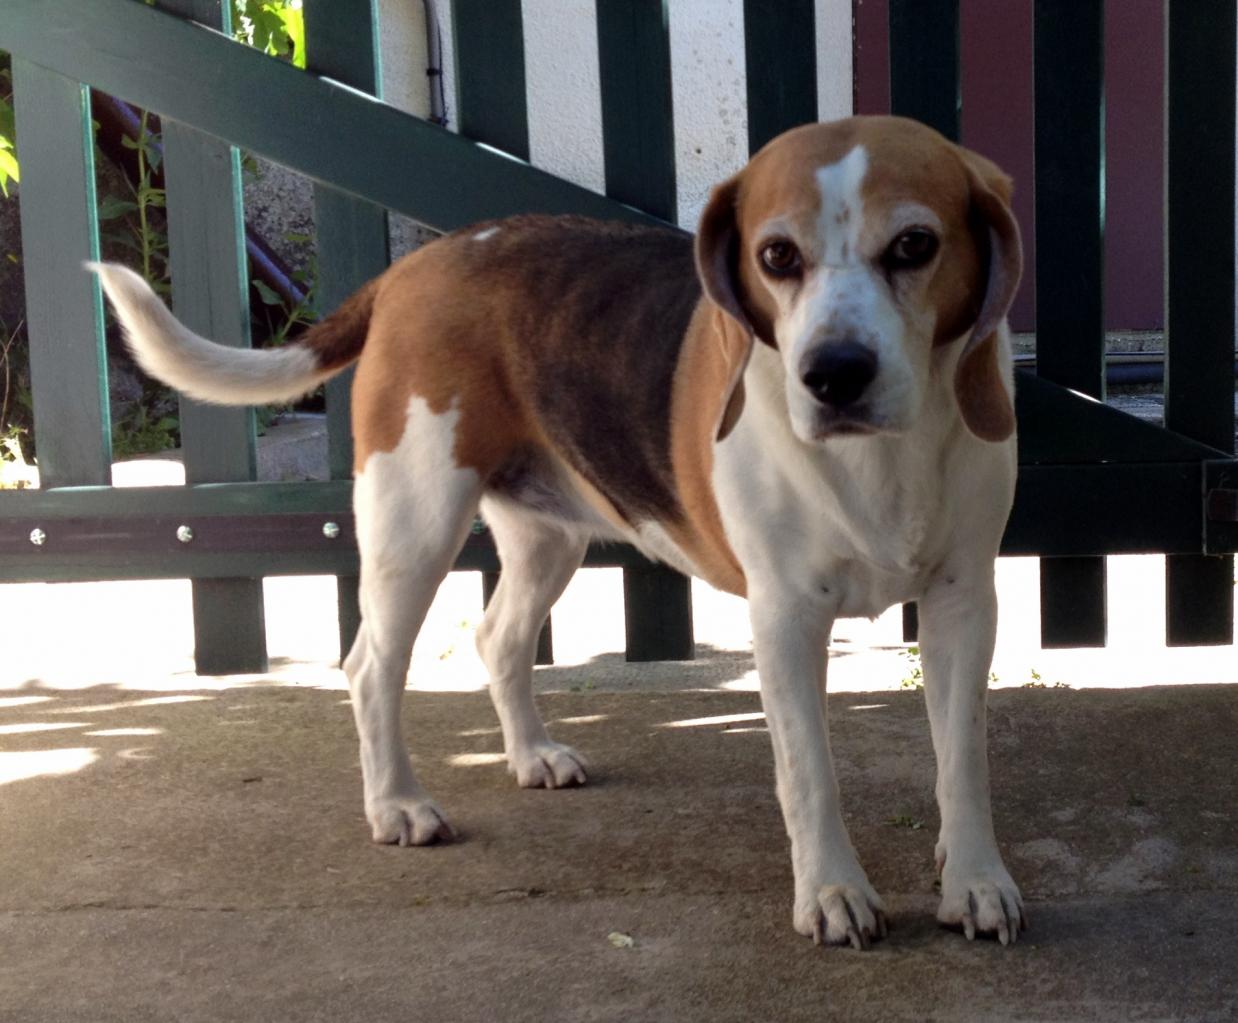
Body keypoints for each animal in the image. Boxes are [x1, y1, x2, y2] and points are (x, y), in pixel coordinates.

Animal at [89, 115, 1025, 946]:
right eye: (776, 257)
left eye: (914, 245)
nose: (833, 374)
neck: (880, 461)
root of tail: (417, 265)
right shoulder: (786, 617)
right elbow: (809, 774)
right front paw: (832, 892)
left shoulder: (963, 602)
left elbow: (964, 760)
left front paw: (975, 879)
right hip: (414, 520)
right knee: (369, 665)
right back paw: (396, 803)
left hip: (548, 538)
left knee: (498, 637)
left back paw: (530, 754)